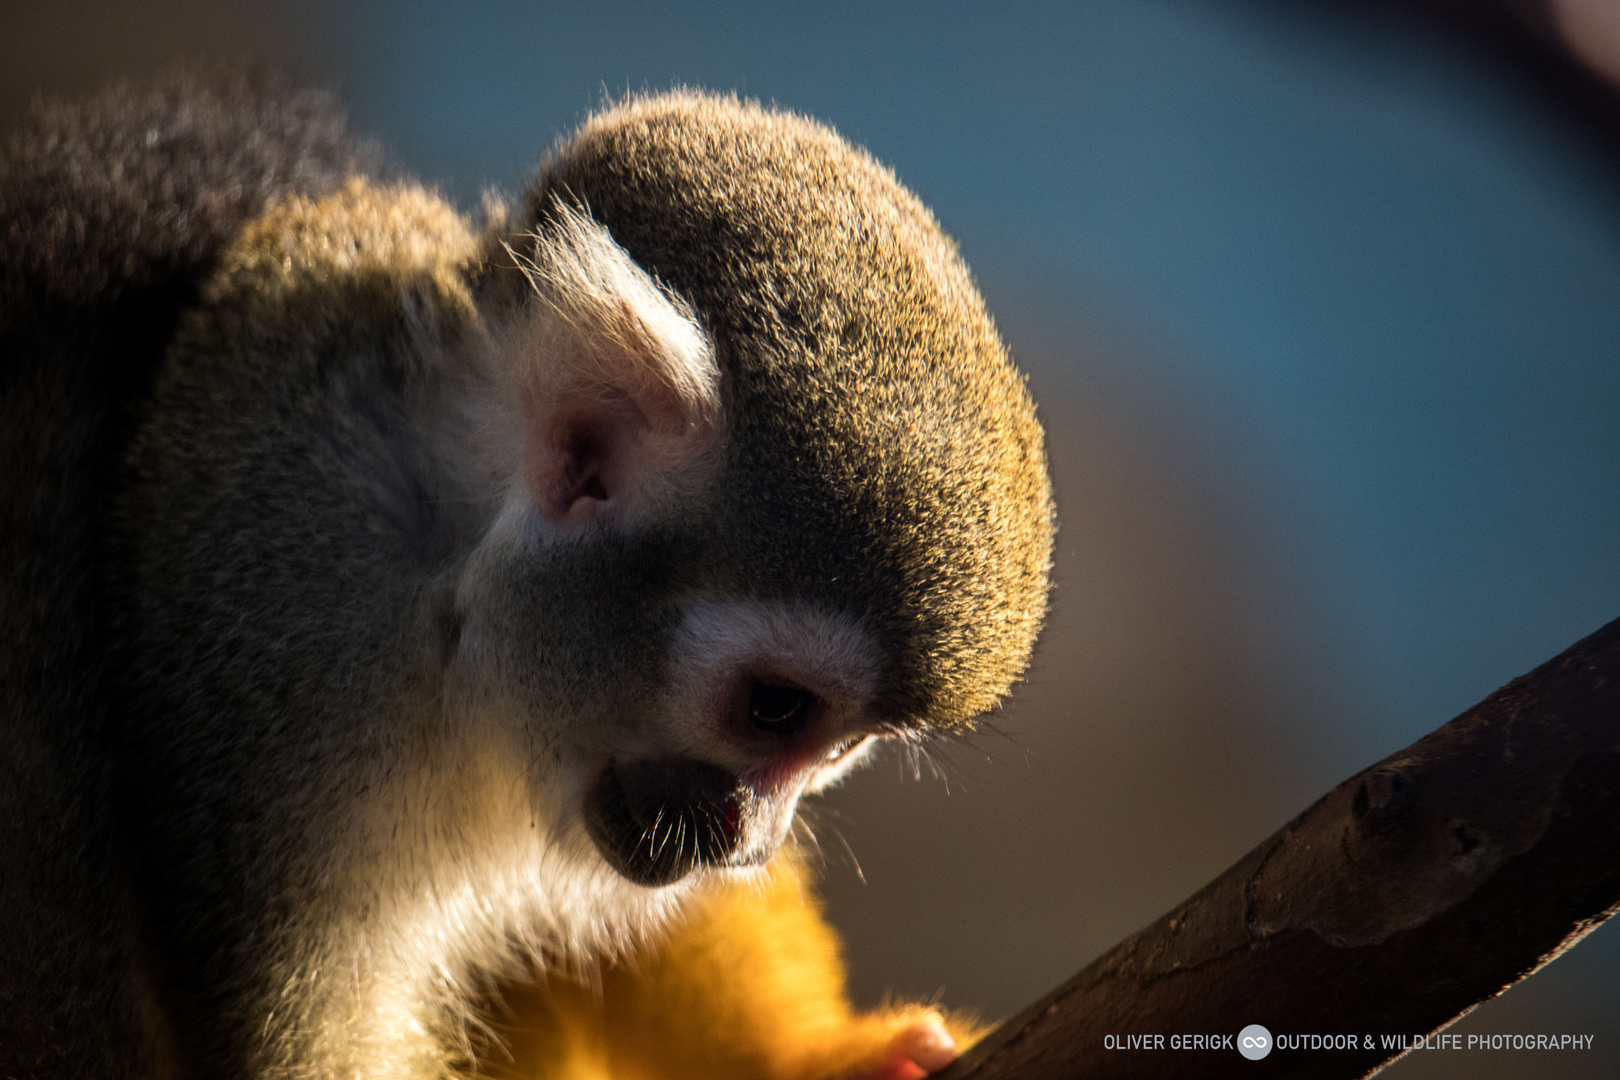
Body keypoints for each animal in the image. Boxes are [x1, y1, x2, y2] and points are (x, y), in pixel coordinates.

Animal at [0, 78, 1049, 1080]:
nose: (747, 839)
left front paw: (818, 1054)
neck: (452, 576)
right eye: (776, 709)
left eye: (840, 750)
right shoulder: (283, 621)